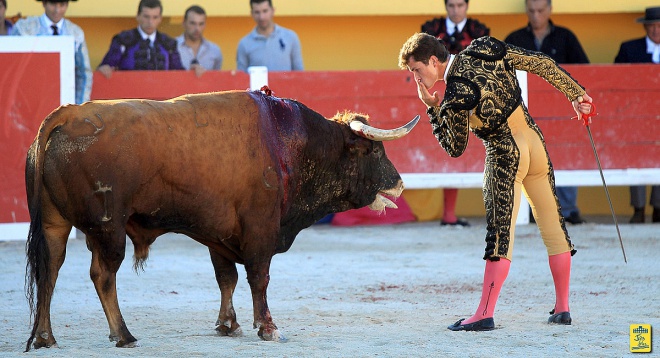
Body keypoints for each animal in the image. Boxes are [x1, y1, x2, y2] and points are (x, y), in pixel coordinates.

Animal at [24, 88, 418, 352]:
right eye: (373, 150)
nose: (399, 184)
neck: (288, 143)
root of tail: (65, 115)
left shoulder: (219, 232)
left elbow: (226, 277)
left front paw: (228, 324)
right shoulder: (260, 229)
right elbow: (259, 278)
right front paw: (268, 328)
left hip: (55, 224)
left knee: (50, 270)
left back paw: (44, 338)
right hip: (109, 227)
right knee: (102, 275)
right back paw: (123, 335)